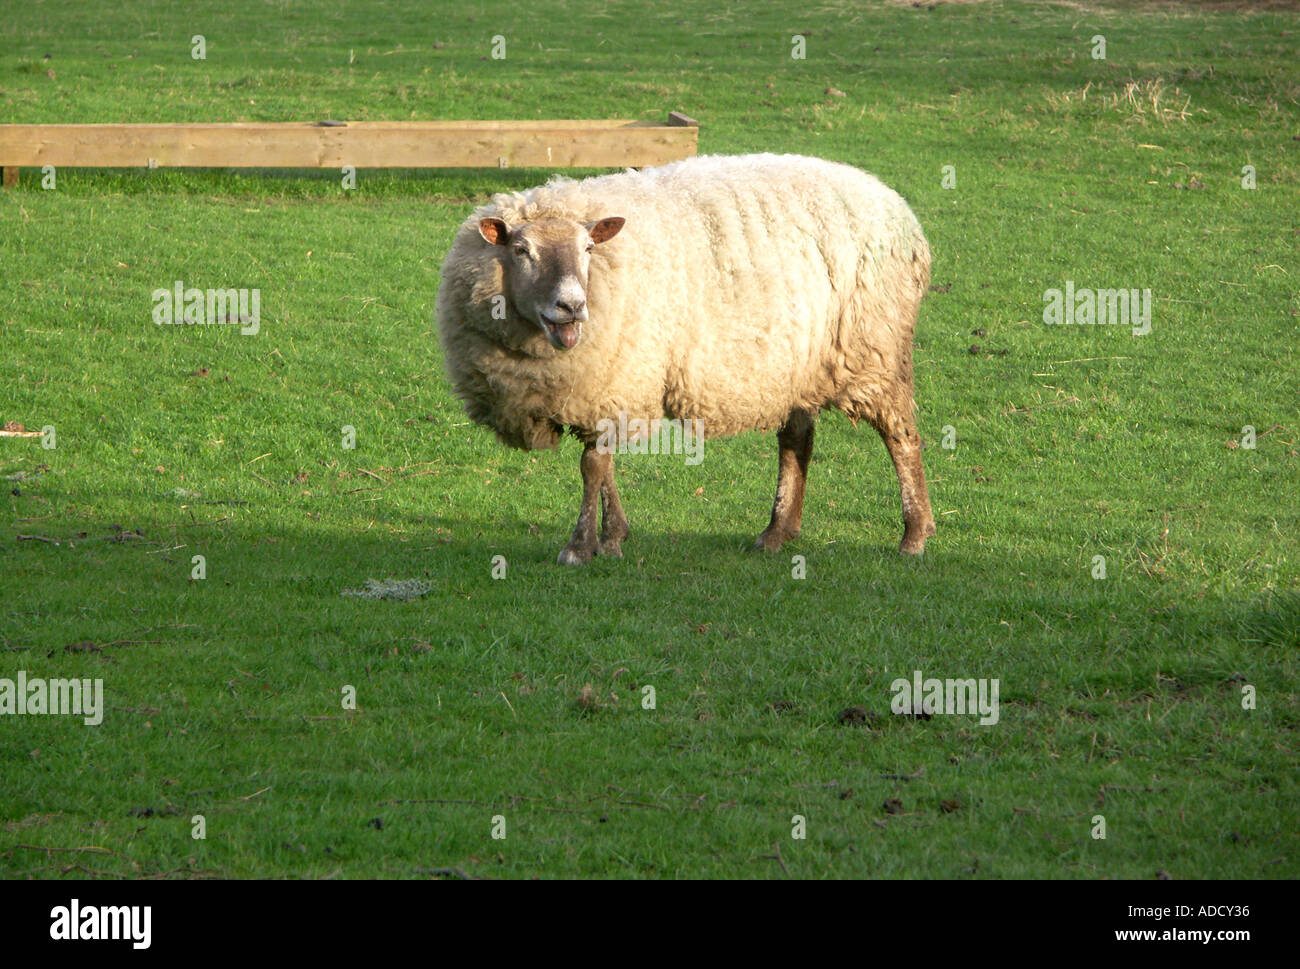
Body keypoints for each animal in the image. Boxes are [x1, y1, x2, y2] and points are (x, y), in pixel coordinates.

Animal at [435, 153, 936, 565]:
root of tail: (896, 205)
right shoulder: (604, 386)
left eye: (588, 249)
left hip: (876, 349)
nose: (572, 306)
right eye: (521, 251)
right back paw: (777, 532)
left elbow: (592, 466)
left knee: (902, 438)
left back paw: (914, 535)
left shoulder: (616, 377)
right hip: (796, 363)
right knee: (797, 441)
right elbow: (602, 464)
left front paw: (581, 547)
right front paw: (614, 537)